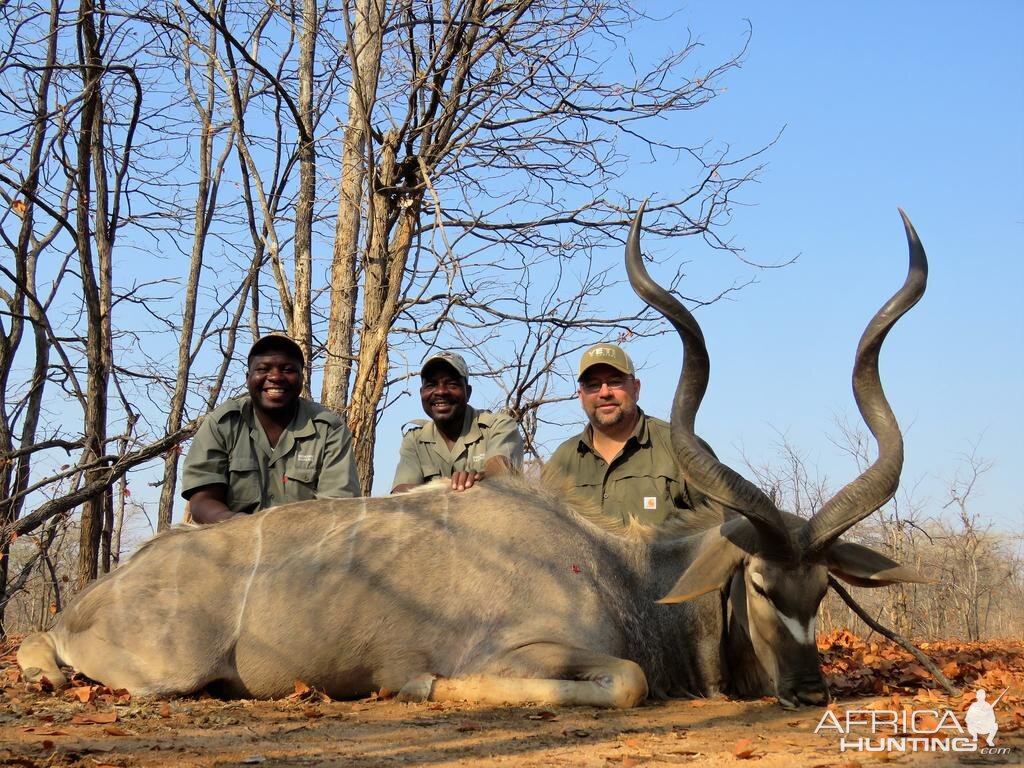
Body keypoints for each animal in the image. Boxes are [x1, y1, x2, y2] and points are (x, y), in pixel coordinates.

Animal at [18, 205, 929, 708]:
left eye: (825, 590)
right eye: (763, 586)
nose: (809, 691)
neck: (625, 573)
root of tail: (97, 595)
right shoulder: (531, 652)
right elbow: (625, 682)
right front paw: (421, 686)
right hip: (169, 671)